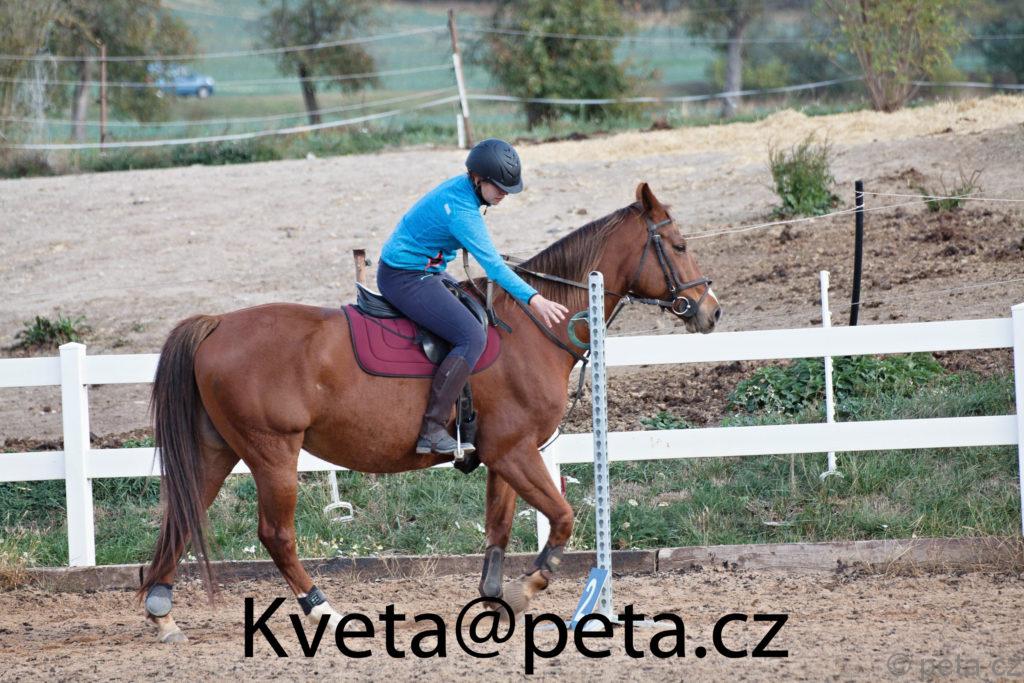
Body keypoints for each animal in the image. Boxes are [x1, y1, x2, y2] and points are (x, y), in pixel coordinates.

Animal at [138, 182, 721, 643]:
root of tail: (217, 324)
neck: (533, 327)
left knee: (184, 515)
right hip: (272, 453)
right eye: (679, 245)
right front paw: (528, 588)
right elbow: (562, 519)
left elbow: (499, 529)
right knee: (276, 535)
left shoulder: (504, 456)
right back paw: (325, 611)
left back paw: (161, 611)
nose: (711, 311)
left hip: (217, 450)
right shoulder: (515, 452)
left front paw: (495, 599)